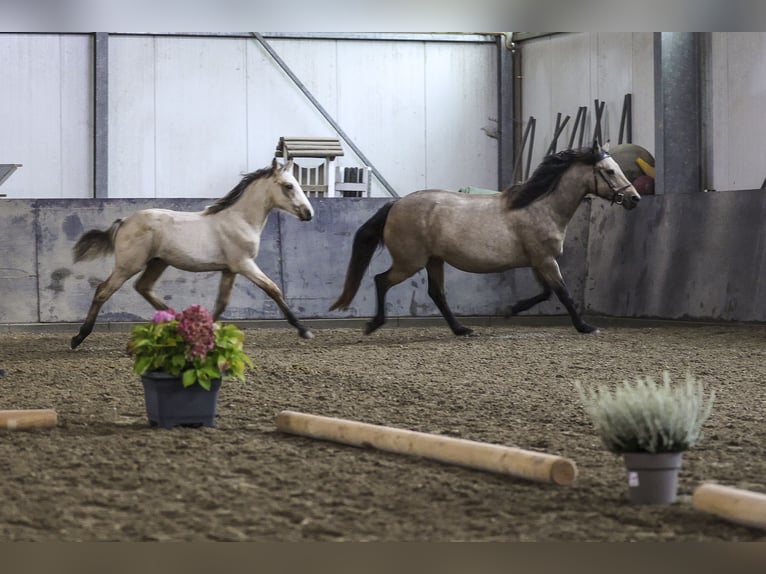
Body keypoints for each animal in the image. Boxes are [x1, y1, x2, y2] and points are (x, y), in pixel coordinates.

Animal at [70, 156, 316, 352]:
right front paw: (304, 330)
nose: (308, 214)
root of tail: (123, 221)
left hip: (158, 262)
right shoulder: (244, 264)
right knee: (103, 291)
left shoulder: (229, 269)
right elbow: (273, 289)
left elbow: (222, 302)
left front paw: (203, 335)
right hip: (128, 265)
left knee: (143, 287)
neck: (240, 220)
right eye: (288, 186)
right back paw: (78, 338)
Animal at [330, 145, 640, 338]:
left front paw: (510, 310)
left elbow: (546, 293)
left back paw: (461, 330)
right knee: (382, 280)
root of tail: (396, 204)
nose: (634, 199)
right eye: (609, 171)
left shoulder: (538, 262)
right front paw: (585, 327)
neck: (540, 206)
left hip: (434, 260)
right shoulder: (545, 260)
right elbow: (562, 293)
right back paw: (374, 324)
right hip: (411, 262)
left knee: (436, 294)